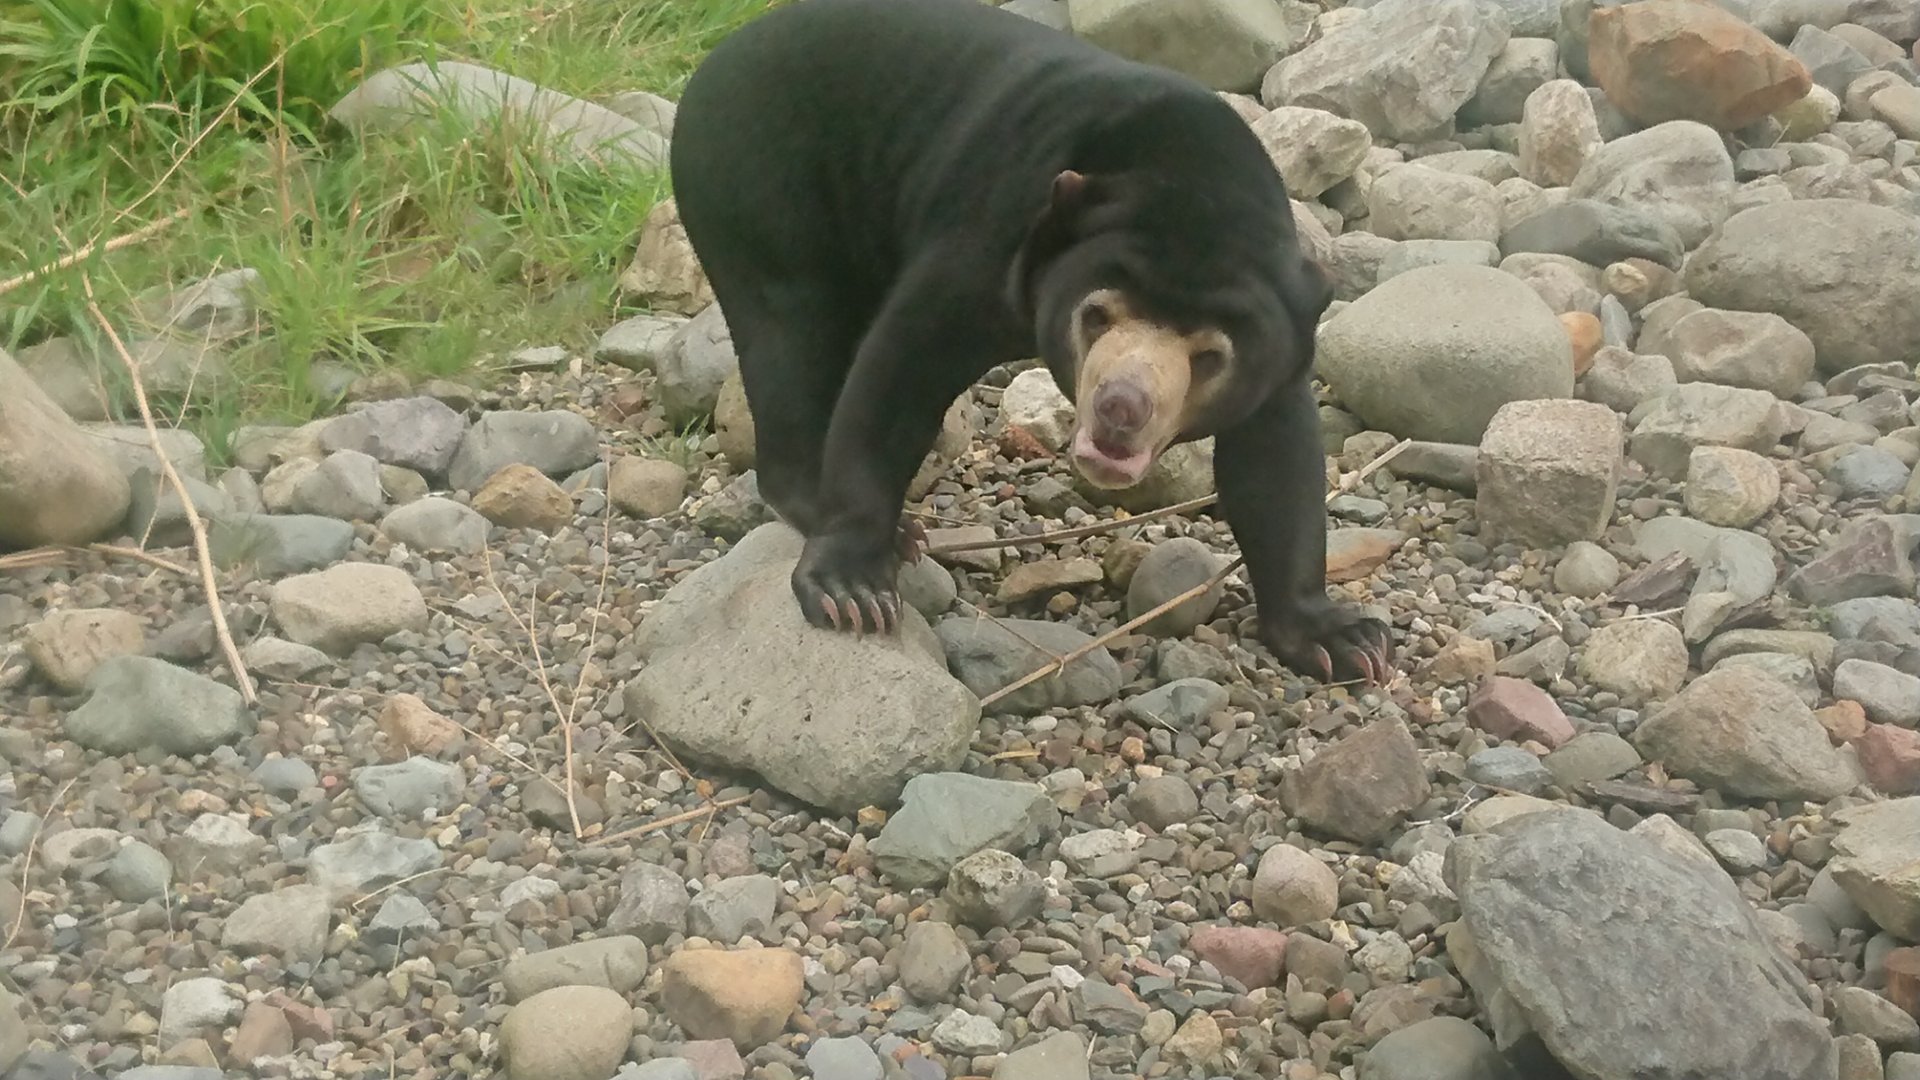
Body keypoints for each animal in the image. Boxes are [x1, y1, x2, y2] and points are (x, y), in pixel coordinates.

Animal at [667, 0, 1392, 684]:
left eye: (1211, 355)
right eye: (1096, 315)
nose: (1122, 407)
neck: (1189, 180)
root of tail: (715, 57)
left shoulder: (1285, 335)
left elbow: (1275, 461)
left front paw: (1342, 640)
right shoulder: (988, 242)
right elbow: (900, 373)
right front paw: (853, 587)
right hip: (757, 189)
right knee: (789, 332)